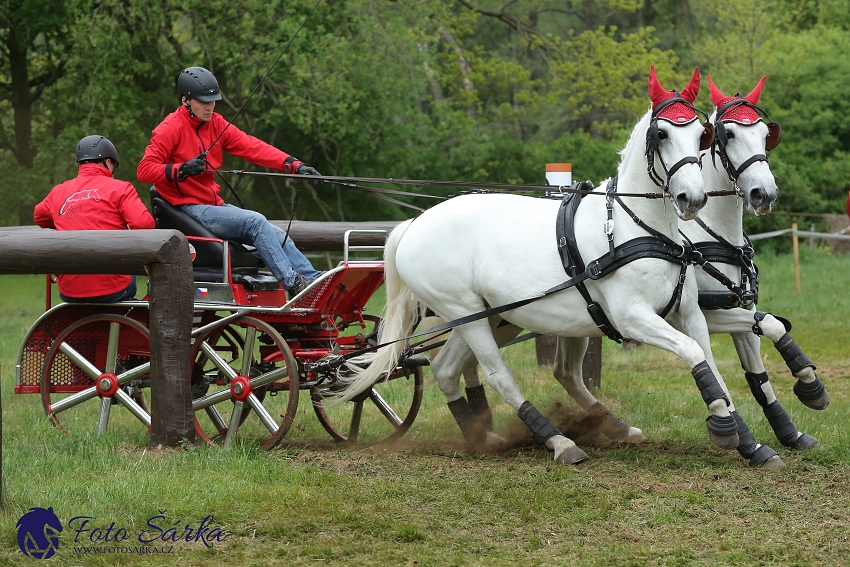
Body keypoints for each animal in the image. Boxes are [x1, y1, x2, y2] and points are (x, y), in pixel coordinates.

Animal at [332, 67, 744, 466]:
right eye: (661, 134)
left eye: (701, 134)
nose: (692, 198)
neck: (637, 228)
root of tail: (414, 224)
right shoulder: (633, 317)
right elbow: (692, 352)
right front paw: (724, 425)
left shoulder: (687, 312)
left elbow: (708, 359)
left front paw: (745, 435)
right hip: (465, 313)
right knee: (498, 376)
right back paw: (559, 442)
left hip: (490, 316)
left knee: (447, 370)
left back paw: (484, 438)